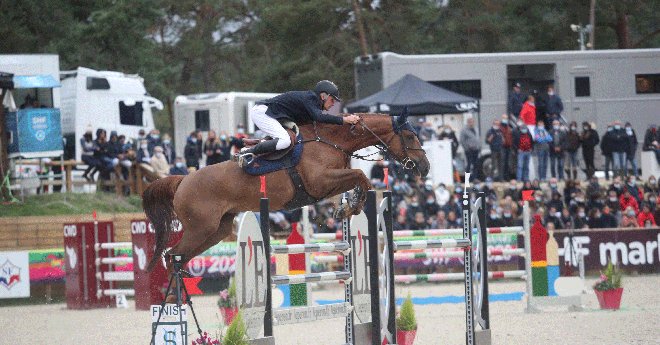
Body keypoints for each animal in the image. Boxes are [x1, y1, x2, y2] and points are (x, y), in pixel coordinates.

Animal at [142, 111, 430, 286]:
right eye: (410, 135)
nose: (424, 167)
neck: (331, 140)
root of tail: (182, 180)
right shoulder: (321, 181)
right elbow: (362, 176)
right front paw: (349, 209)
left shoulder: (328, 185)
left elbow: (358, 179)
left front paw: (346, 208)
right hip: (200, 228)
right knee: (171, 255)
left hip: (217, 230)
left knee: (180, 257)